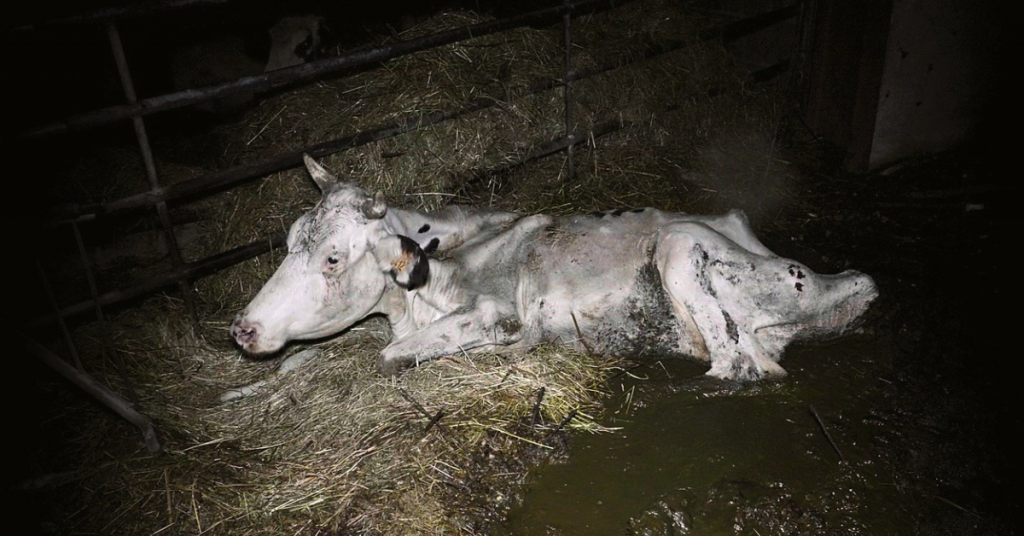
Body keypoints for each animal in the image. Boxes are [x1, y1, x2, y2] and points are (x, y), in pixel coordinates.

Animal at [228, 154, 876, 381]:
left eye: (333, 257)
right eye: (290, 240)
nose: (242, 329)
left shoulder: (492, 309)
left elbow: (391, 356)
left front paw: (507, 348)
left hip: (681, 245)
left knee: (738, 366)